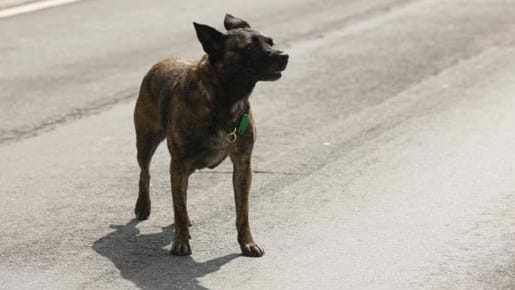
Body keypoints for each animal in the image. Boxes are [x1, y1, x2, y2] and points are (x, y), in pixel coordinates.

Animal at [133, 14, 288, 258]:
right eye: (249, 47)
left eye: (270, 41)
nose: (284, 56)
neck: (225, 100)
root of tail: (161, 62)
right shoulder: (178, 164)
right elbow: (178, 209)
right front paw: (180, 242)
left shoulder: (243, 165)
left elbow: (242, 212)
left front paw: (247, 243)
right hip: (147, 141)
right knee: (145, 173)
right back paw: (143, 206)